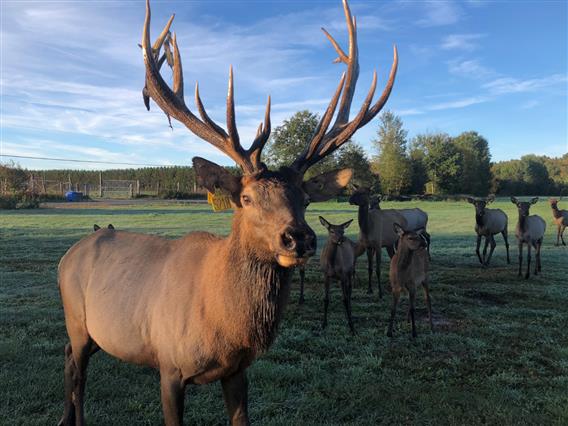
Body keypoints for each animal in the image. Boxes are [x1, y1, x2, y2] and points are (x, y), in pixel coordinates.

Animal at [56, 0, 394, 426]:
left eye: (305, 198)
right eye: (246, 198)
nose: (298, 238)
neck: (225, 326)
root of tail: (68, 255)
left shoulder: (238, 370)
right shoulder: (169, 366)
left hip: (99, 333)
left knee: (69, 357)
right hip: (76, 319)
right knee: (77, 371)